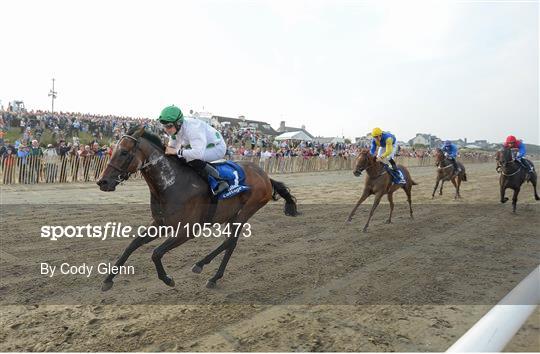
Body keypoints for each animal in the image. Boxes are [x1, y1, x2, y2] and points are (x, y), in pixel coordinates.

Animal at [97, 127, 300, 290]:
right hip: (232, 215)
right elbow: (131, 245)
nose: (102, 182)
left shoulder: (187, 231)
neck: (171, 184)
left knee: (231, 241)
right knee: (231, 243)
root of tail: (265, 176)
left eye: (124, 152)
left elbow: (156, 253)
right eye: (113, 151)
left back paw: (205, 268)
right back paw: (210, 273)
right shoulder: (160, 223)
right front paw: (108, 280)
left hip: (246, 211)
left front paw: (167, 279)